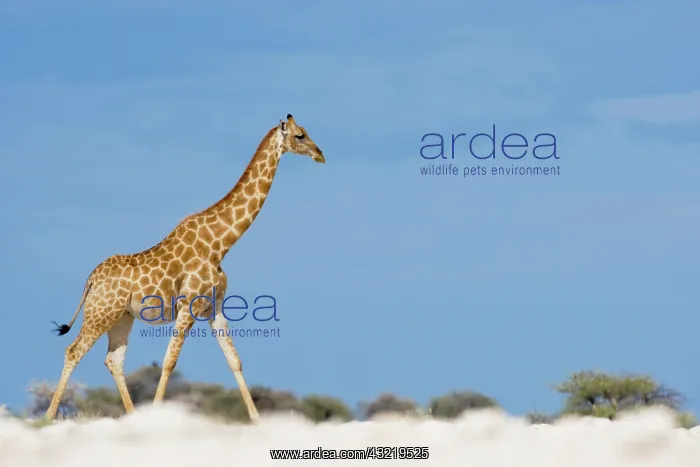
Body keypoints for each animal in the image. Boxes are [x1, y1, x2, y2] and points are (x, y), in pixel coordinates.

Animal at [45, 114, 325, 422]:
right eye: (300, 135)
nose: (320, 154)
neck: (220, 243)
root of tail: (91, 279)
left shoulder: (214, 306)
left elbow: (234, 360)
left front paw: (257, 419)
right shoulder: (188, 305)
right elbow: (170, 361)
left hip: (122, 316)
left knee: (113, 360)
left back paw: (131, 416)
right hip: (100, 312)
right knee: (74, 351)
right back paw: (47, 417)